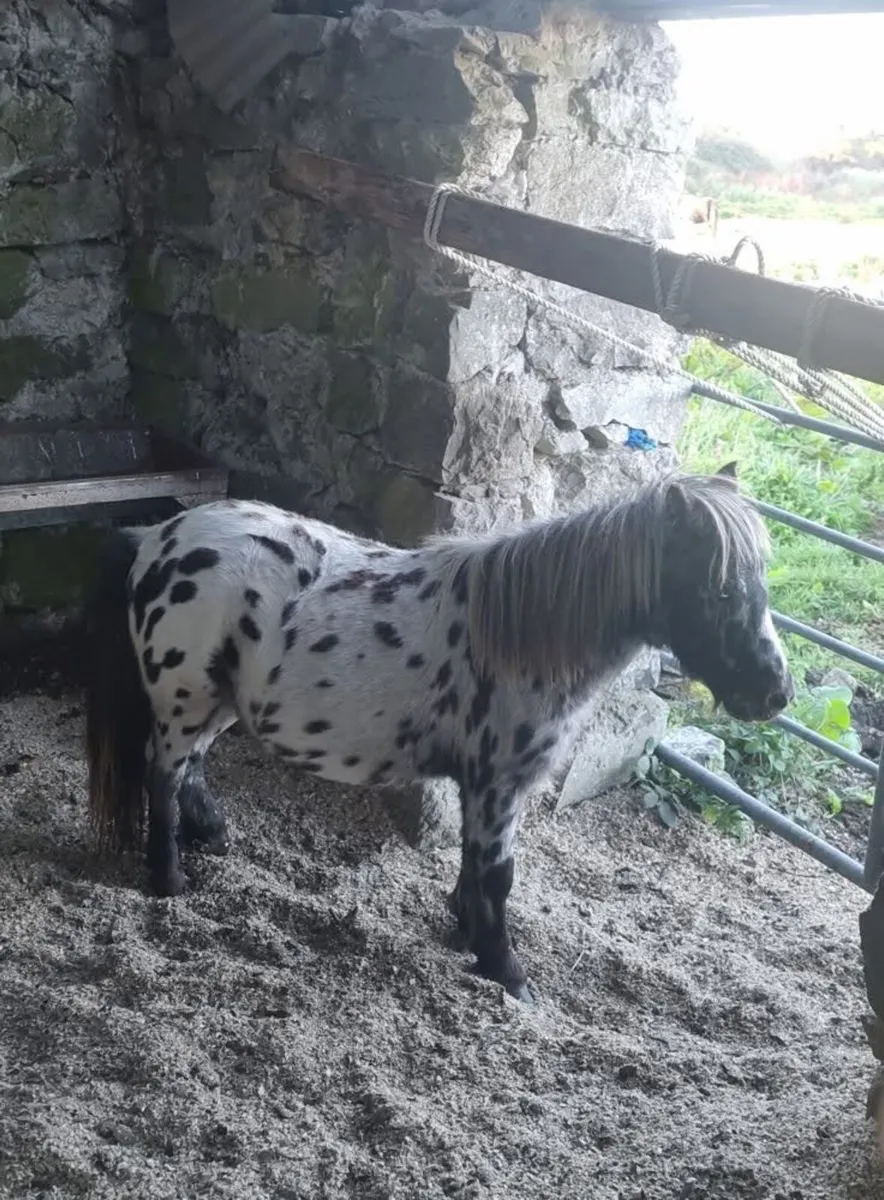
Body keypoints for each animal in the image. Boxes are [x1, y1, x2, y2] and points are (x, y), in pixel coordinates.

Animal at [83, 462, 793, 1005]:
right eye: (718, 591)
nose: (776, 694)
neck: (521, 638)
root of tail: (158, 536)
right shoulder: (498, 783)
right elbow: (498, 875)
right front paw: (505, 970)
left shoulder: (485, 788)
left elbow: (475, 865)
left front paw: (466, 931)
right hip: (185, 697)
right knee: (162, 772)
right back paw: (168, 877)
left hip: (220, 701)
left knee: (192, 766)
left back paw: (213, 836)